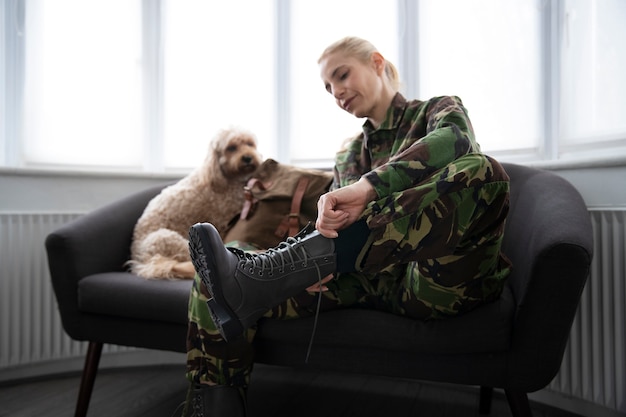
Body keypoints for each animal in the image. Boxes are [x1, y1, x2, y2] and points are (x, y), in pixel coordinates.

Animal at [127, 127, 260, 280]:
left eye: (250, 144)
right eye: (231, 148)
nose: (248, 158)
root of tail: (140, 259)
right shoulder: (222, 220)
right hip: (167, 238)